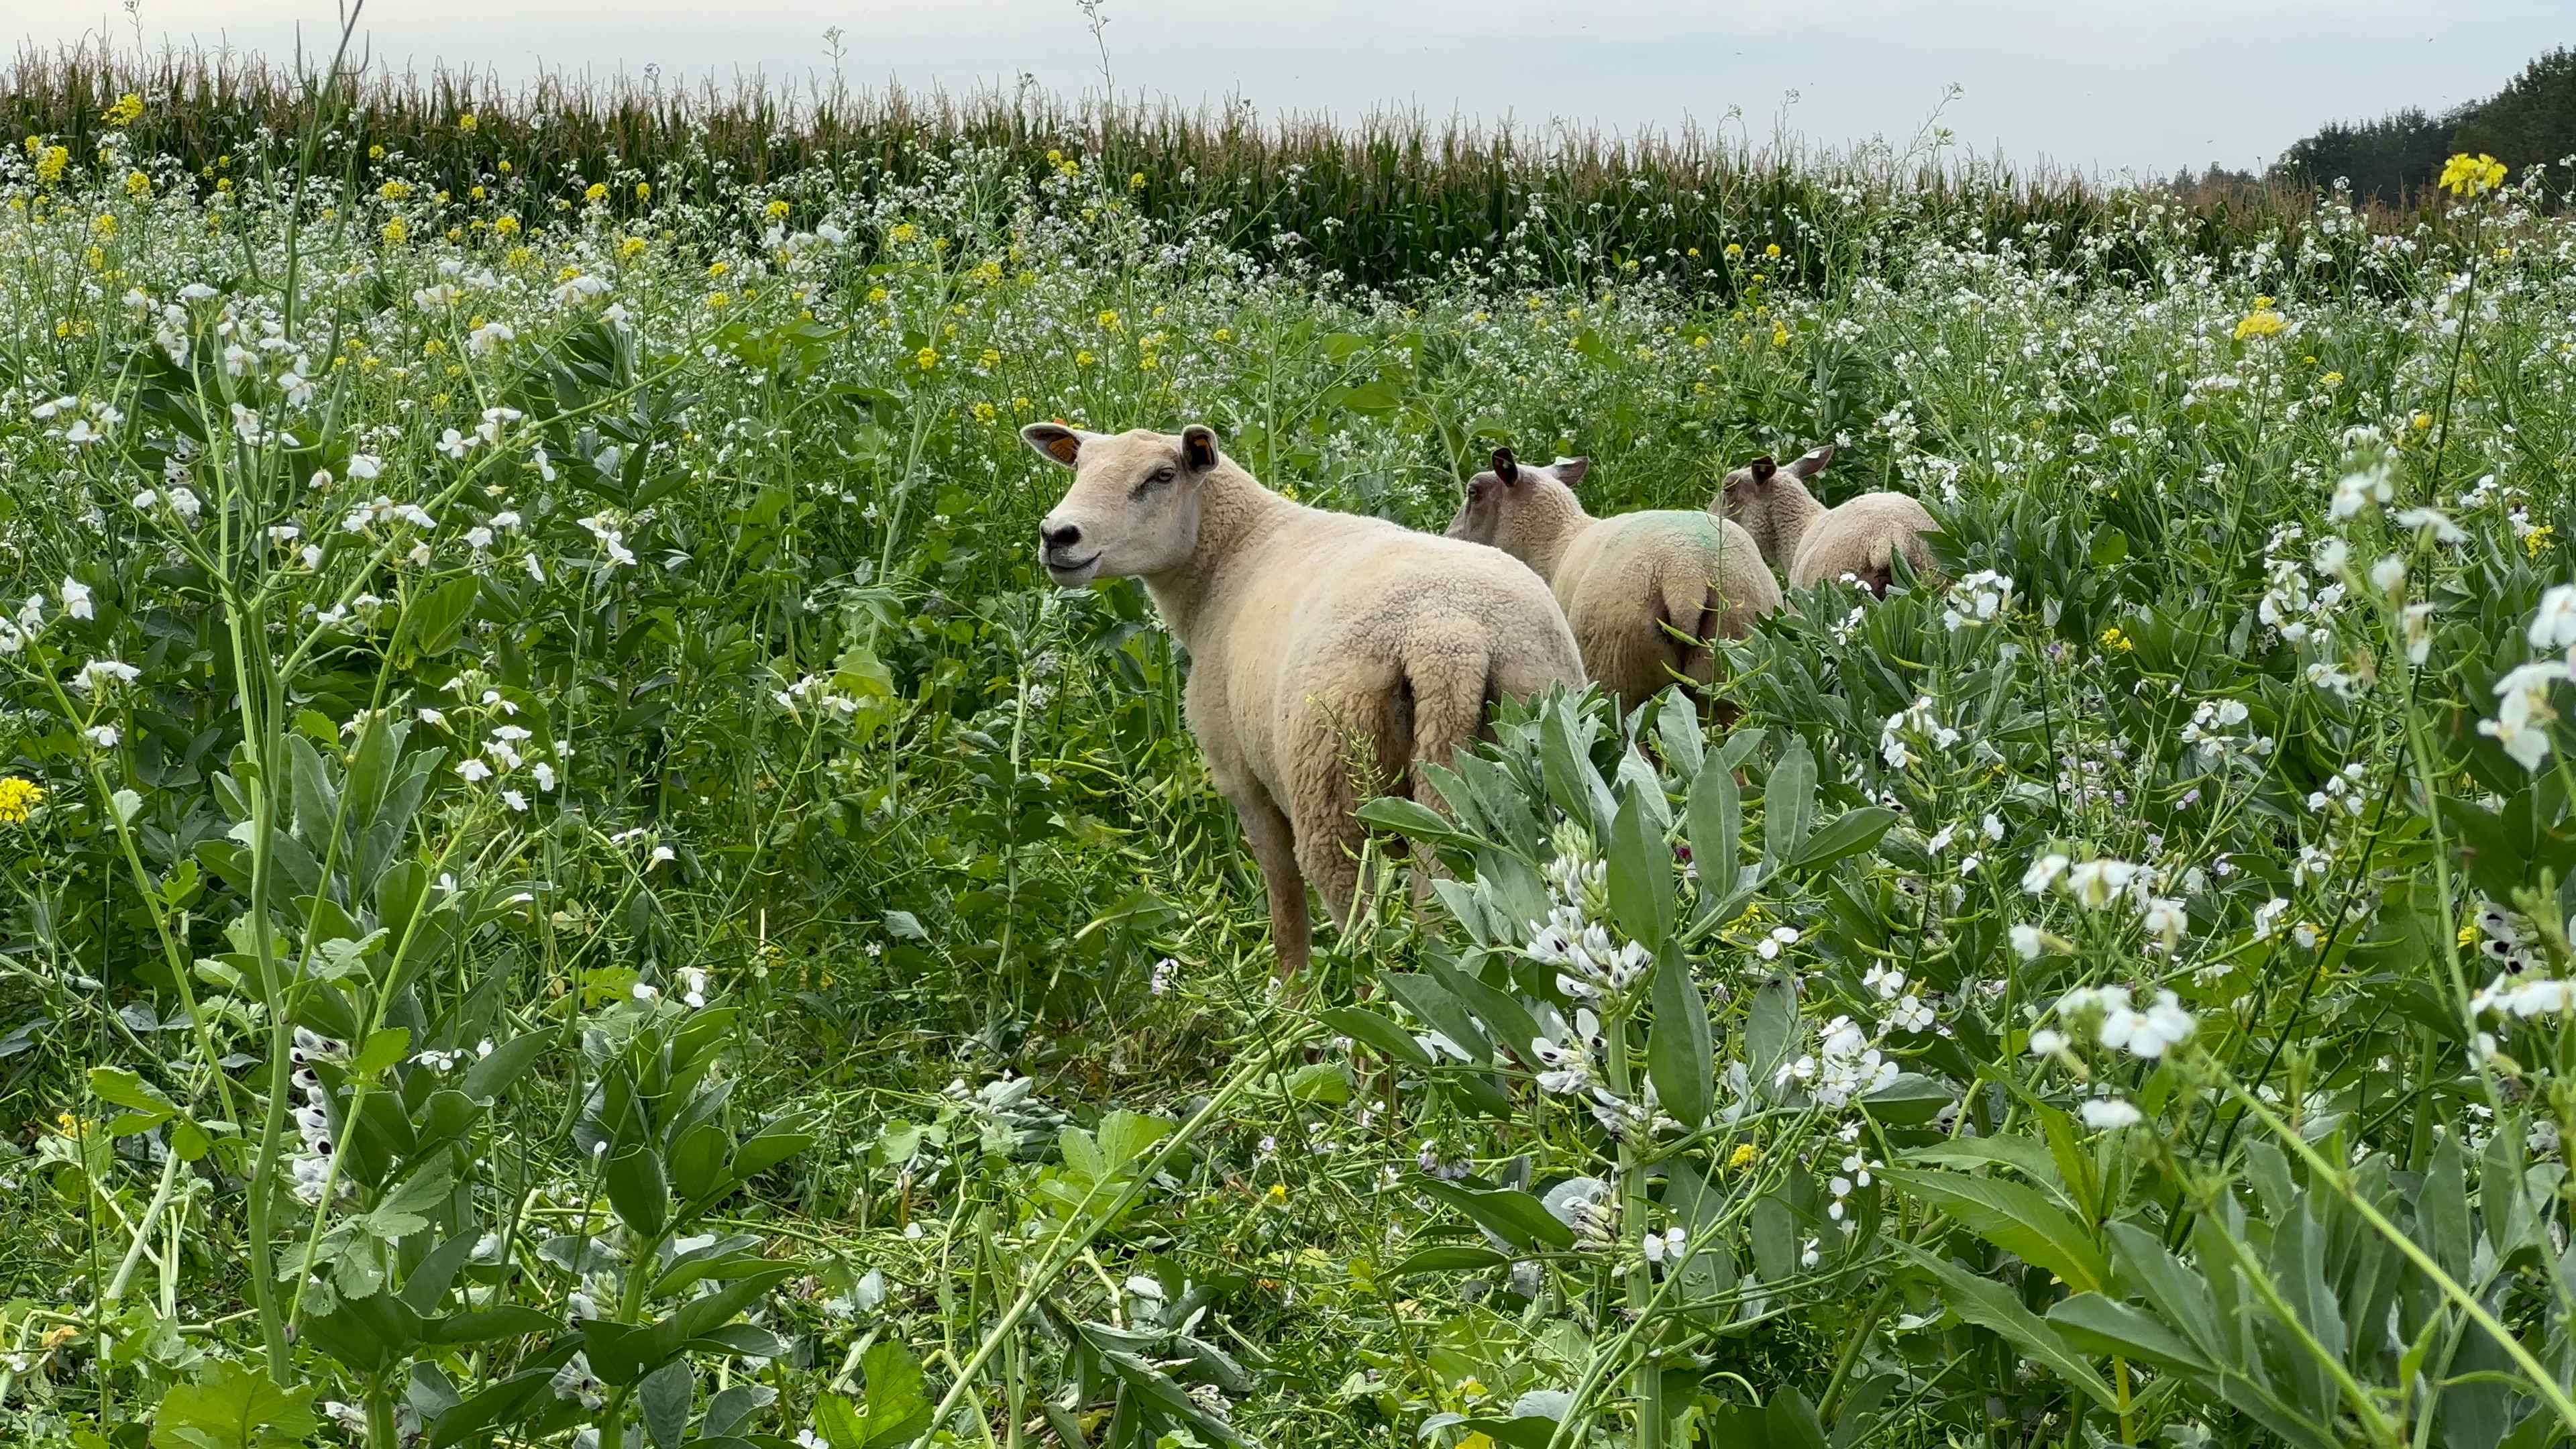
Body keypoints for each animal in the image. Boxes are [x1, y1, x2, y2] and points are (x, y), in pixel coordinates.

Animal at [1025, 422, 1584, 980]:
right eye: (1079, 467)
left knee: (1375, 932)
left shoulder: (1242, 779)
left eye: (1162, 476)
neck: (1228, 555)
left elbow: (1286, 913)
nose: (1058, 536)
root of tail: (1448, 635)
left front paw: (1288, 992)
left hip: (1333, 791)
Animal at [1446, 448, 1781, 711]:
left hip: (1618, 678)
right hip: (1729, 676)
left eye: (1473, 491)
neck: (1555, 543)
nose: (1449, 536)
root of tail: (1686, 573)